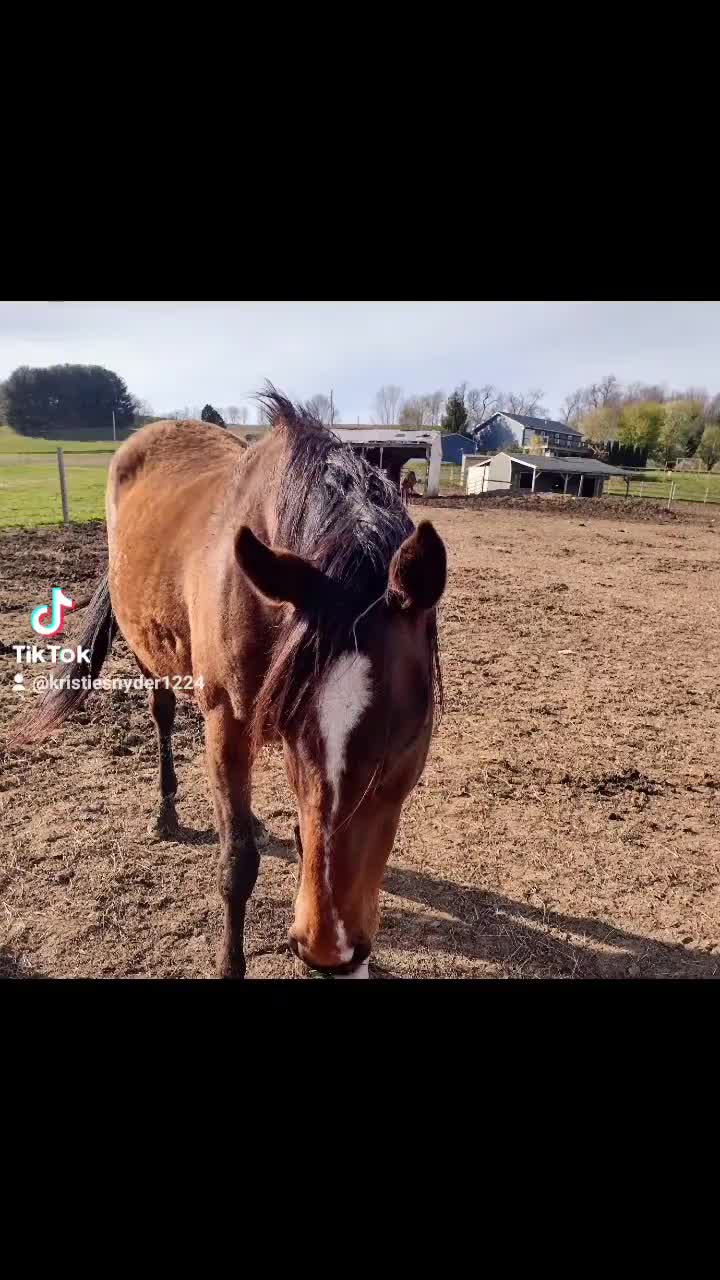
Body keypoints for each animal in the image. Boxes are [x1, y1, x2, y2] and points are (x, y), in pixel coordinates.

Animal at [15, 389, 446, 979]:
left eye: (410, 735)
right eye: (295, 735)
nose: (329, 948)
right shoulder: (228, 722)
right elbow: (238, 862)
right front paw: (229, 962)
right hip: (154, 661)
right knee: (163, 718)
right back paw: (166, 814)